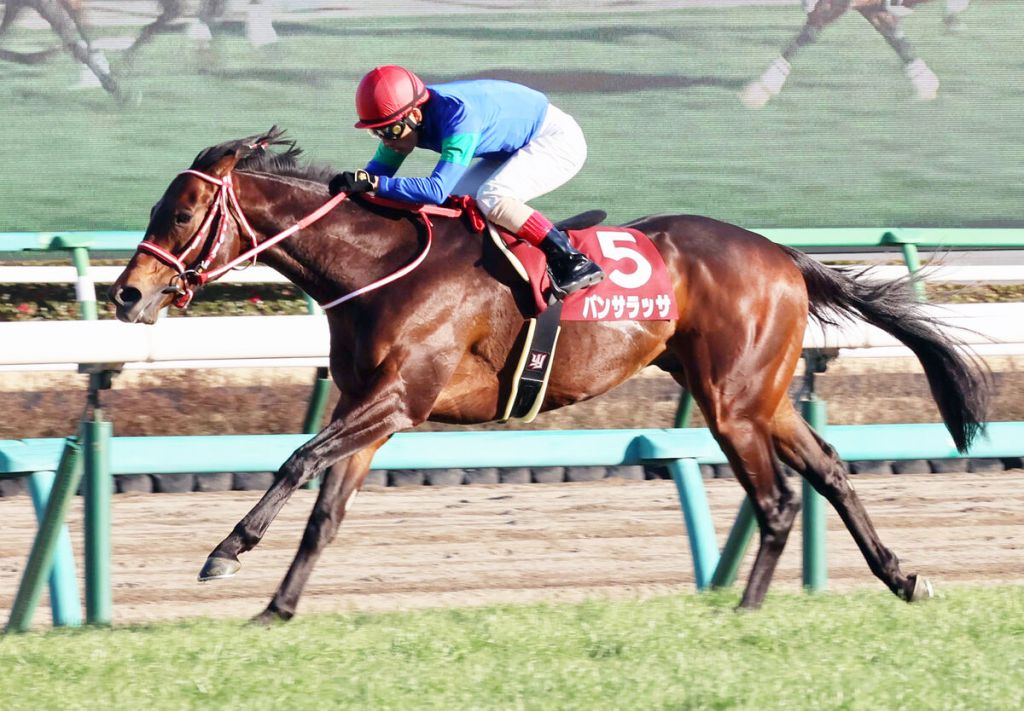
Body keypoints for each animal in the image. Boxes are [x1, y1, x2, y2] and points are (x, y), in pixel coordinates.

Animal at [109, 128, 990, 623]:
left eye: (180, 214)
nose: (127, 294)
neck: (380, 264)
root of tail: (782, 255)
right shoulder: (370, 408)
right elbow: (326, 511)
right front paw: (277, 607)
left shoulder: (400, 399)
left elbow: (295, 460)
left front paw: (226, 550)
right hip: (760, 396)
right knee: (831, 471)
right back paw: (902, 578)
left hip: (732, 402)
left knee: (776, 499)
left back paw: (743, 608)